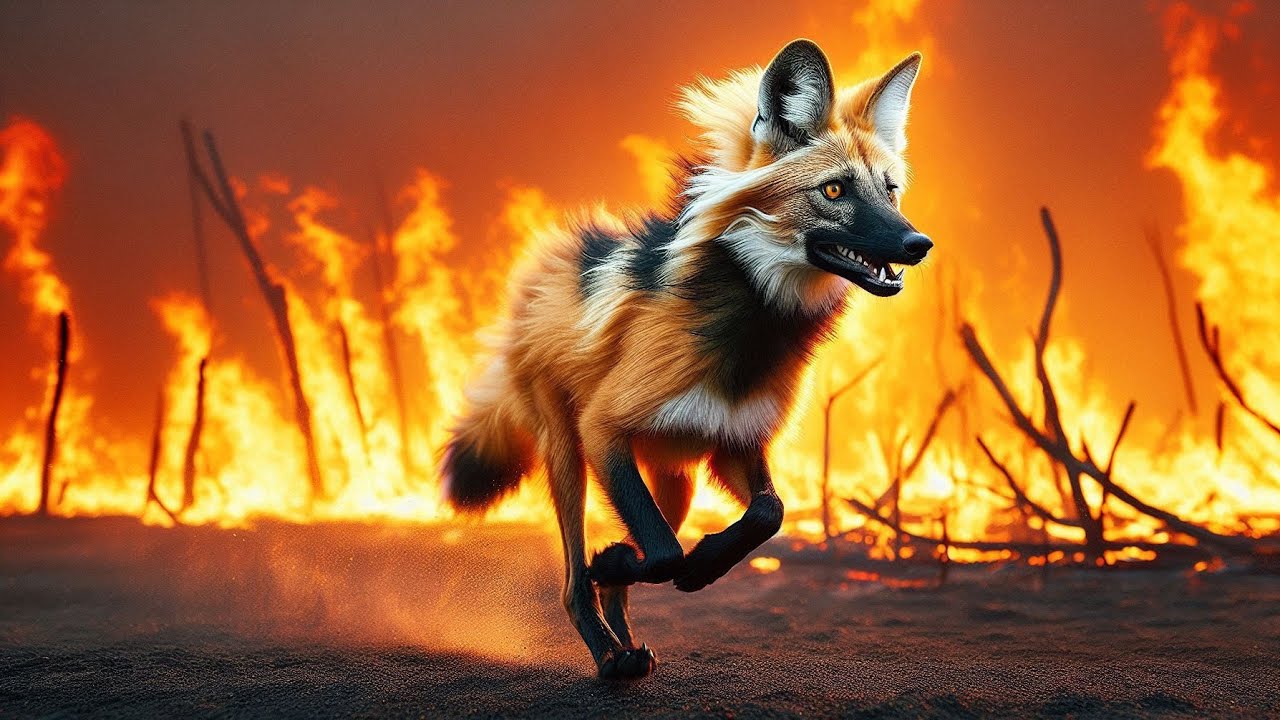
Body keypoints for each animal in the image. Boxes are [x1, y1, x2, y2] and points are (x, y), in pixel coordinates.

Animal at [441, 39, 931, 679]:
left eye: (889, 189)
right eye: (834, 191)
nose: (918, 244)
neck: (746, 345)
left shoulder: (735, 441)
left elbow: (766, 515)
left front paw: (691, 565)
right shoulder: (603, 427)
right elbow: (663, 554)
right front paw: (636, 564)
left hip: (674, 477)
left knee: (629, 568)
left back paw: (626, 632)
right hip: (570, 455)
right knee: (573, 583)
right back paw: (610, 655)